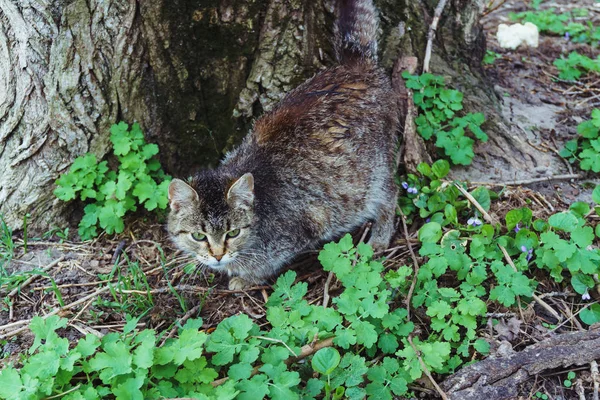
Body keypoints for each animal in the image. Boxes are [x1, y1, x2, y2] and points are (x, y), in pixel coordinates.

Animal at [168, 0, 398, 290]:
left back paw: (379, 238)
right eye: (198, 236)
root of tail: (354, 65)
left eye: (233, 232)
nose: (218, 255)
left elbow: (265, 264)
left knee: (390, 194)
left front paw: (245, 277)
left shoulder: (303, 228)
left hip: (374, 176)